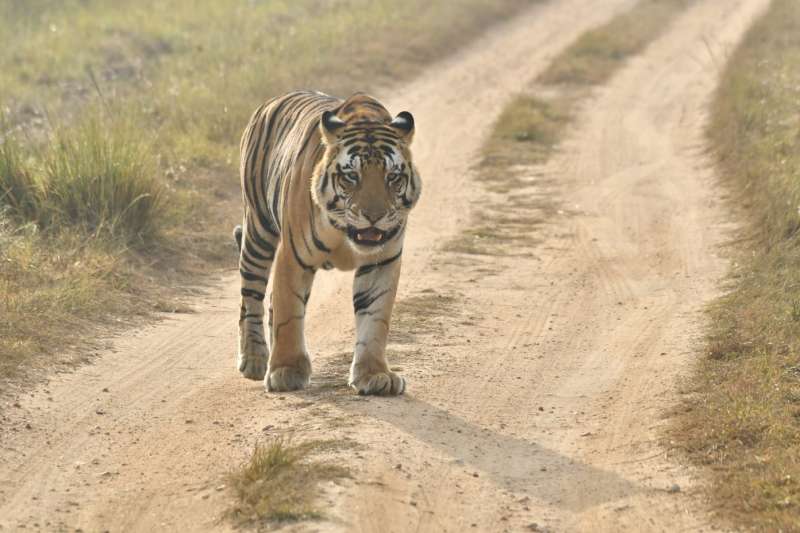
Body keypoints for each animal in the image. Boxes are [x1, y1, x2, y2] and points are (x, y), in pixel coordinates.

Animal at [233, 89, 422, 392]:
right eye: (351, 176)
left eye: (393, 177)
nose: (374, 216)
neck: (346, 233)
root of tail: (270, 101)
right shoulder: (292, 257)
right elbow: (289, 314)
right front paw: (286, 371)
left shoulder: (383, 261)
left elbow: (375, 318)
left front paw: (374, 374)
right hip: (257, 232)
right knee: (251, 297)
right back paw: (254, 360)